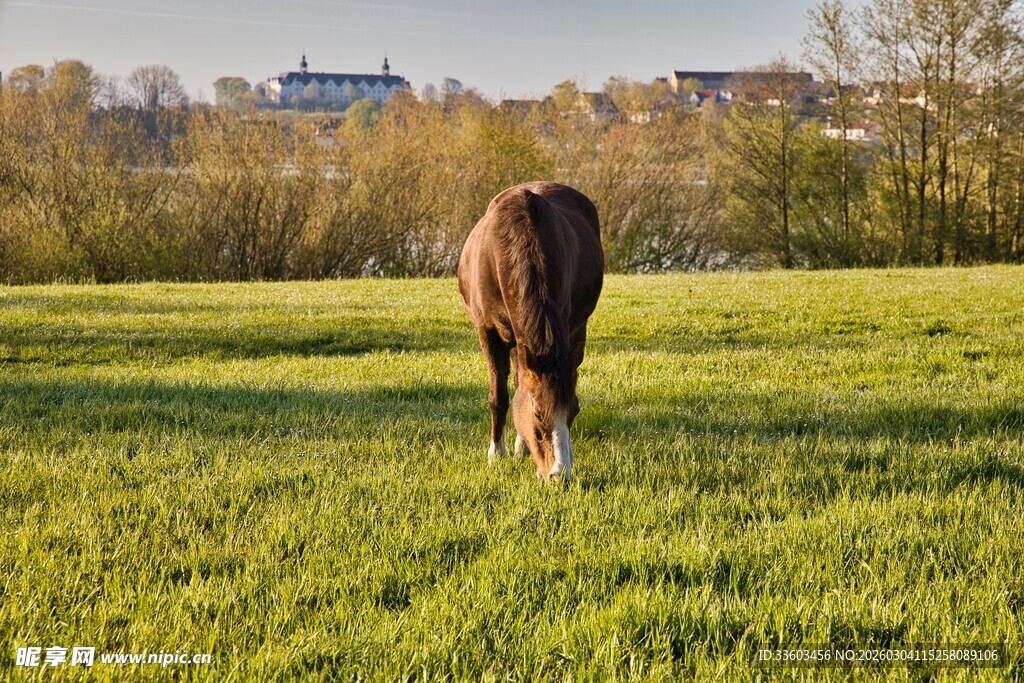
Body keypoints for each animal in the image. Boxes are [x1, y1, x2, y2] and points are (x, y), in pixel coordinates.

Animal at [457, 181, 604, 483]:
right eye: (537, 414)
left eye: (575, 410)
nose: (560, 475)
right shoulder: (488, 332)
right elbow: (499, 396)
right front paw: (495, 454)